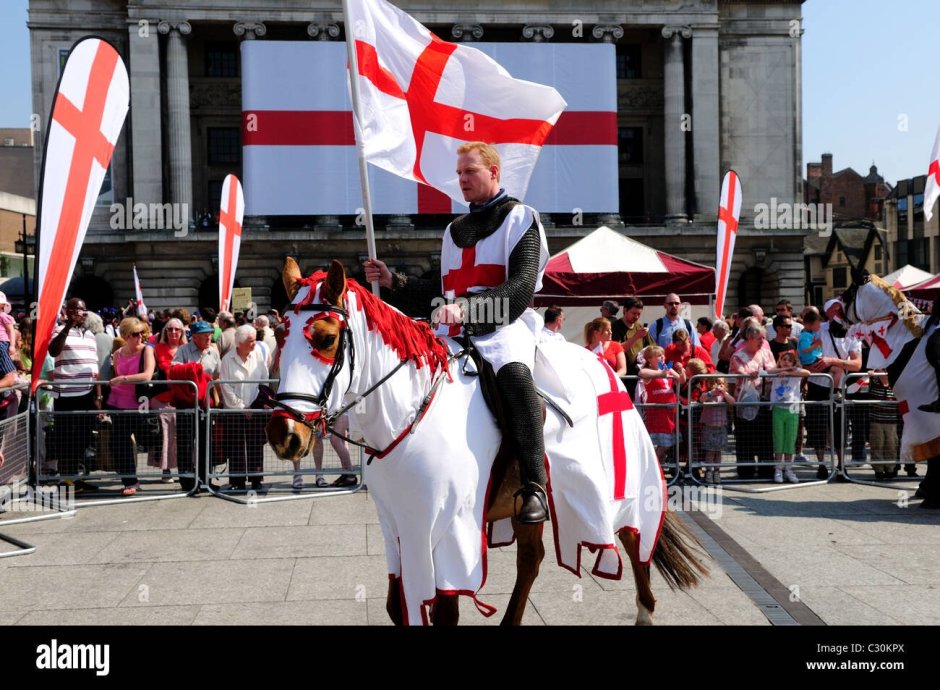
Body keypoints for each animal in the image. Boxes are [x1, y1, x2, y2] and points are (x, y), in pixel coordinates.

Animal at [264, 260, 704, 624]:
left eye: (325, 338)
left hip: (622, 486)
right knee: (532, 559)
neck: (413, 409)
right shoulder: (399, 528)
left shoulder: (449, 531)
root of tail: (607, 369)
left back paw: (645, 609)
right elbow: (397, 606)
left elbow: (444, 612)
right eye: (281, 335)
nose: (283, 436)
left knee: (635, 539)